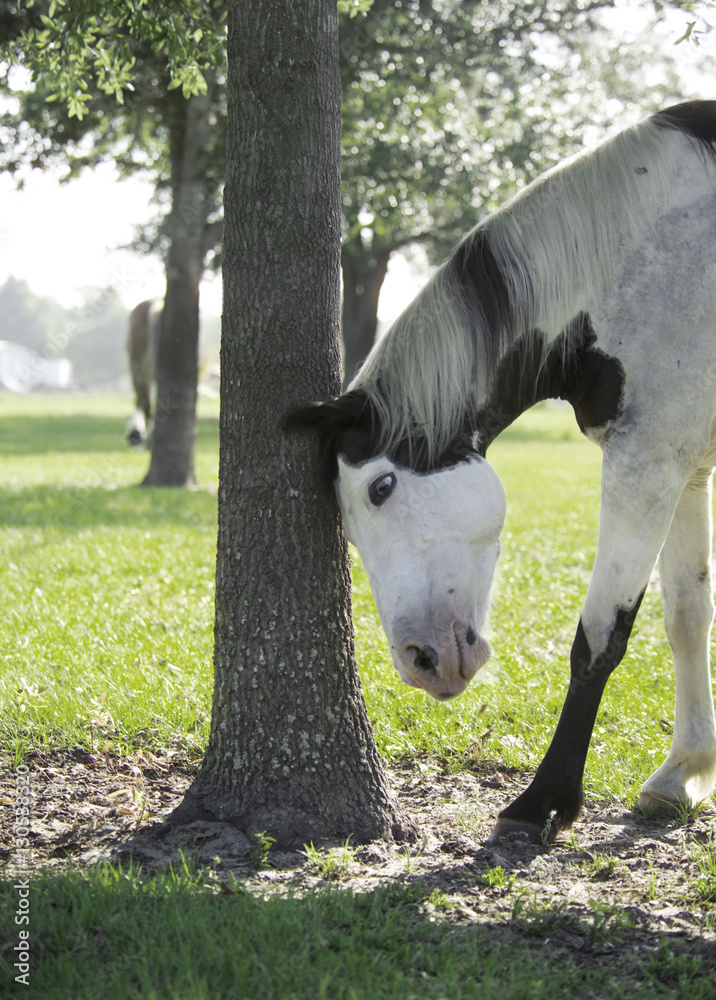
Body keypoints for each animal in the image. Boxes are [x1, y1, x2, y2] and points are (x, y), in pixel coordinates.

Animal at [288, 100, 716, 845]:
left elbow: (599, 636)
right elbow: (688, 617)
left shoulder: (646, 465)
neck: (637, 258)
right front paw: (683, 773)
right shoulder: (685, 469)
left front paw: (544, 800)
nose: (421, 660)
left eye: (381, 487)